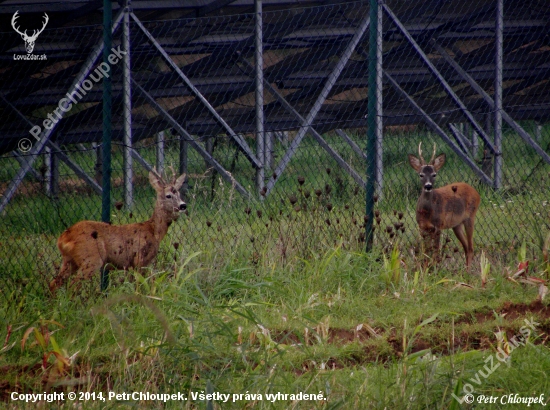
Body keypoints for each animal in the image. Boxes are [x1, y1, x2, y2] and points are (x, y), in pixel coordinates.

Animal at [50, 168, 188, 294]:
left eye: (179, 194)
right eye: (168, 195)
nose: (183, 205)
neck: (153, 231)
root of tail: (64, 237)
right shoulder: (139, 259)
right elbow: (138, 286)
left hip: (69, 260)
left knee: (54, 283)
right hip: (91, 259)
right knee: (73, 285)